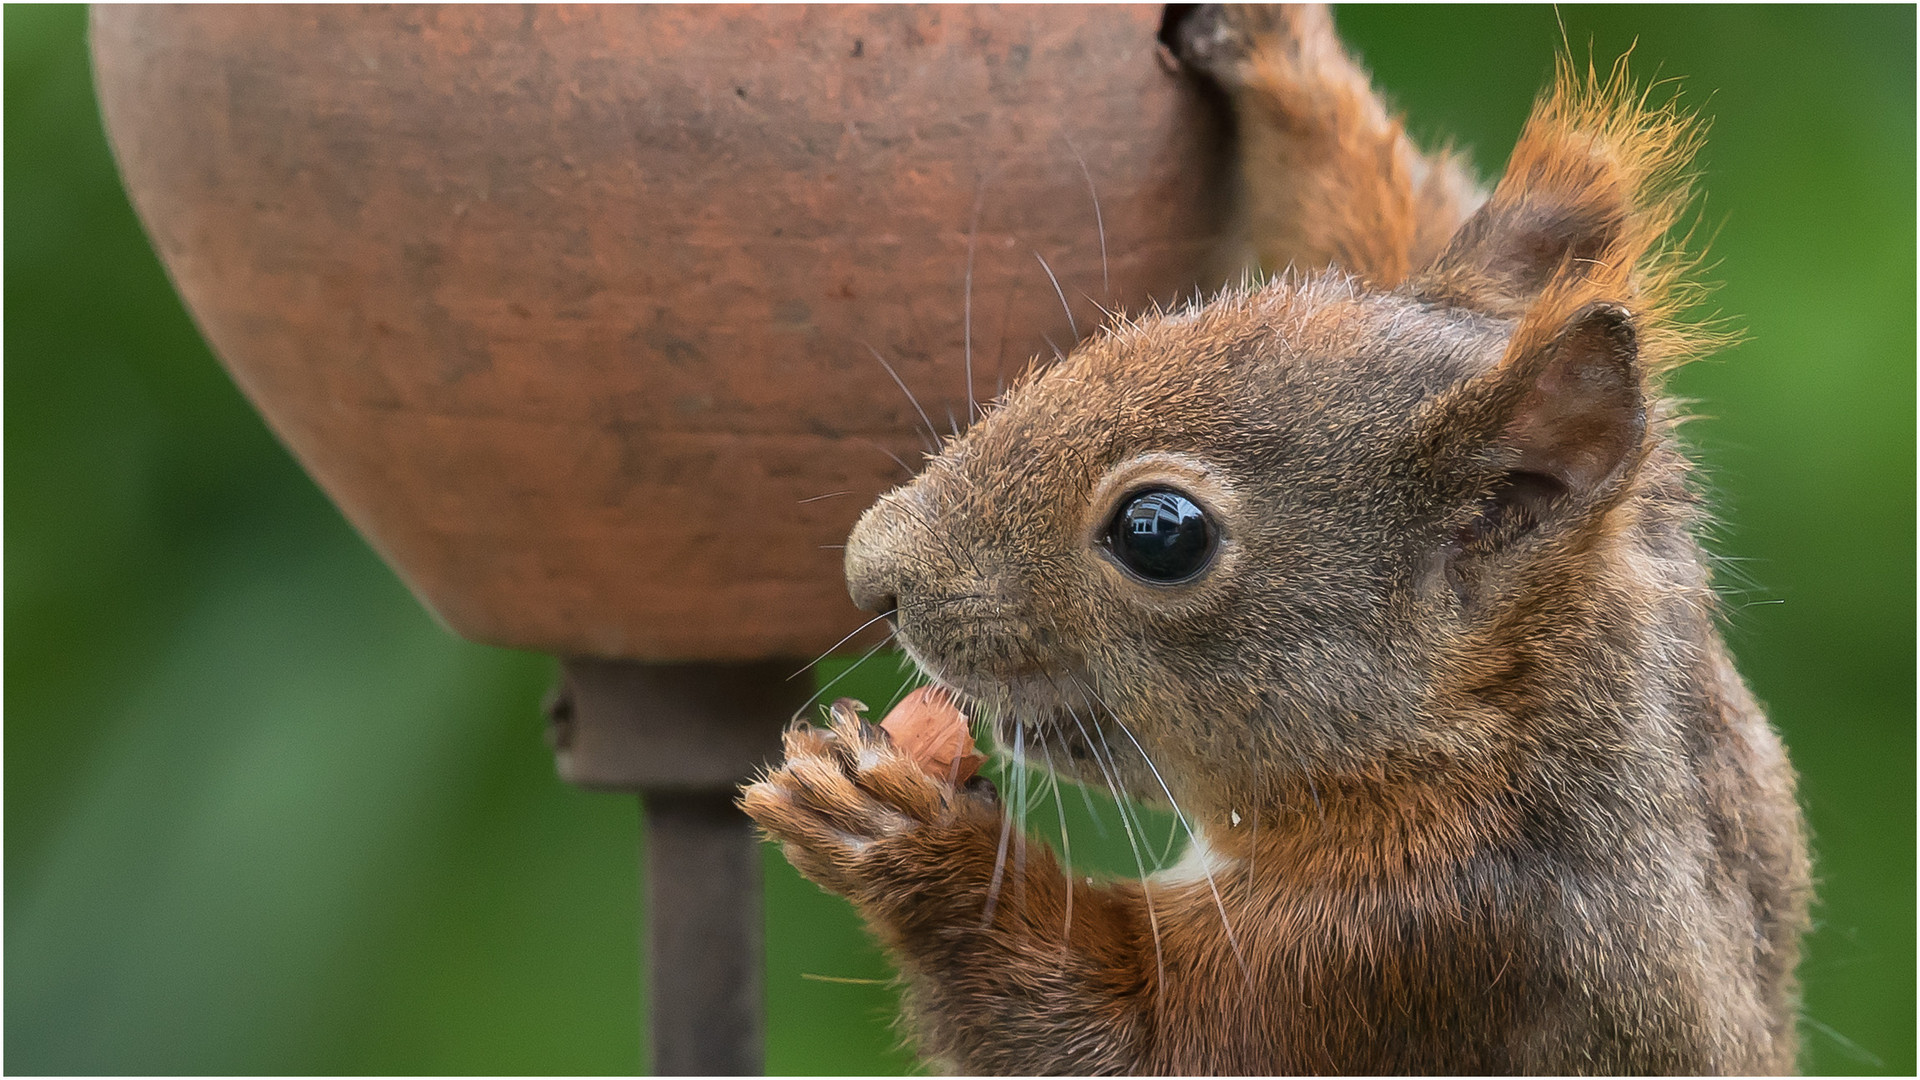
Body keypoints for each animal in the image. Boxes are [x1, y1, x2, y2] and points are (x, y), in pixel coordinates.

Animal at [737, 6, 1812, 1068]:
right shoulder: (1661, 501)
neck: (1501, 746)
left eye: (1159, 534)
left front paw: (900, 834)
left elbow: (1132, 1039)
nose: (870, 575)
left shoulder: (1429, 944)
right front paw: (1287, 59)